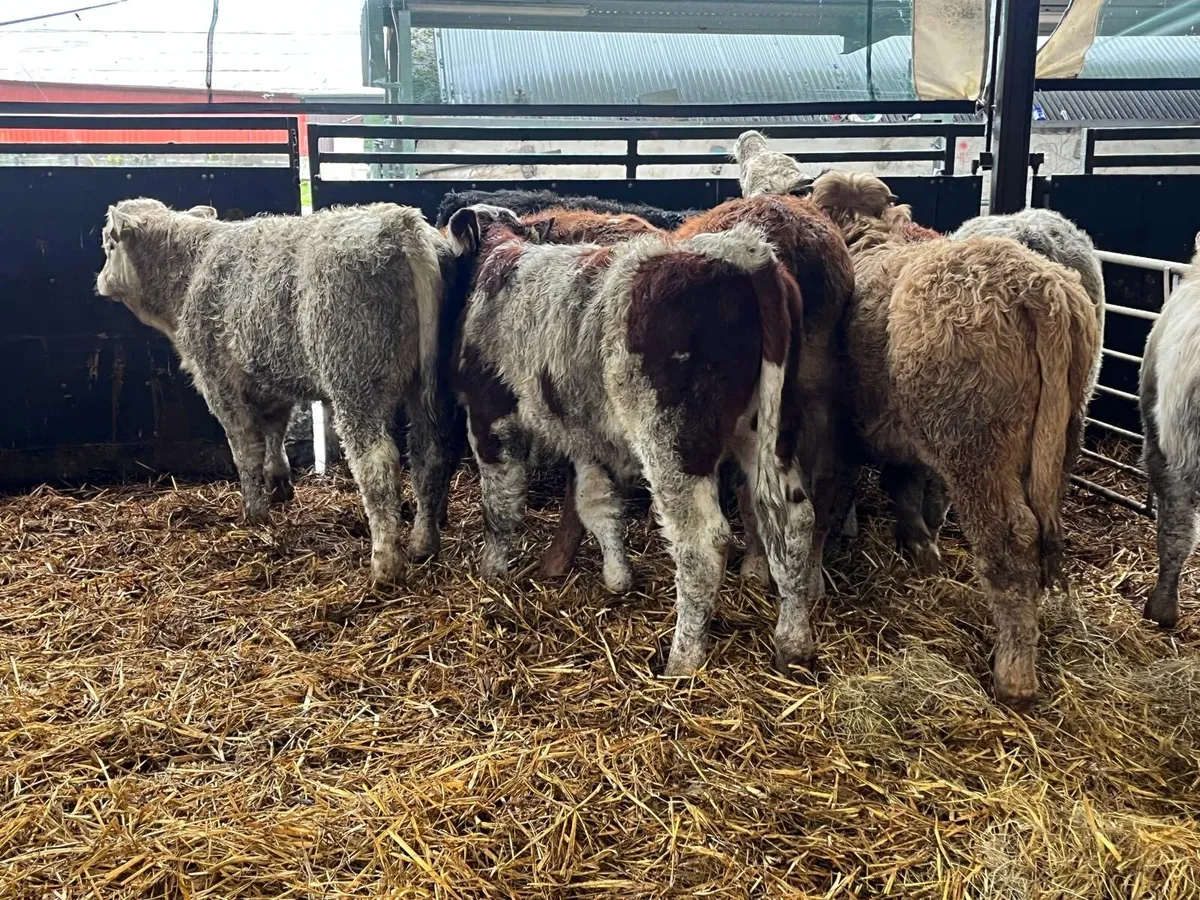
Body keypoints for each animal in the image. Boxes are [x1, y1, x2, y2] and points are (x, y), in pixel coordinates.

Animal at [94, 198, 456, 585]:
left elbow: (245, 449)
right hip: (427, 389)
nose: (100, 280)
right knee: (429, 454)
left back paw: (386, 564)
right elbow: (274, 432)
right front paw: (280, 484)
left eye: (109, 245)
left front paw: (254, 513)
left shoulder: (219, 382)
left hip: (356, 382)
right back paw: (423, 543)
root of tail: (402, 222)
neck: (191, 271)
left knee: (378, 464)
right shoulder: (270, 378)